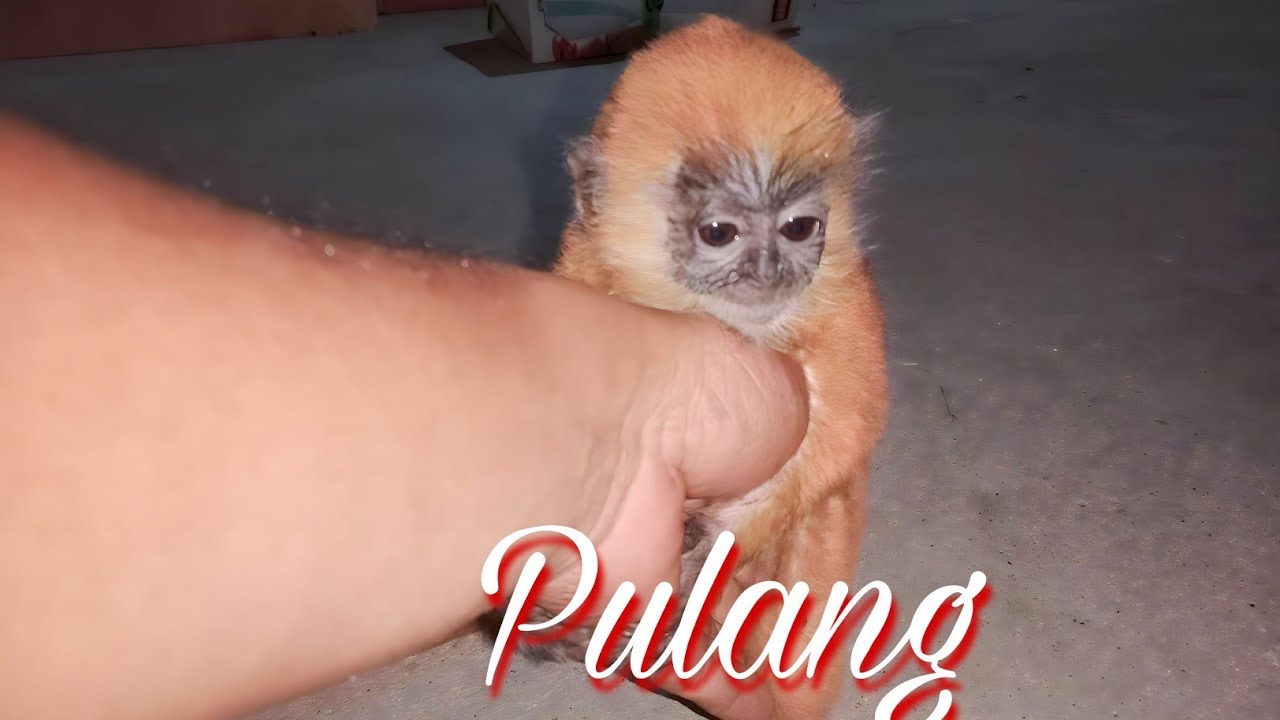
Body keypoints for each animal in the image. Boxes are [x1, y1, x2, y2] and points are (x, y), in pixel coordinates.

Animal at [483, 15, 888, 720]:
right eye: (720, 233)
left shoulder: (847, 309)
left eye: (799, 228)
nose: (769, 272)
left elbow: (847, 427)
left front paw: (710, 550)